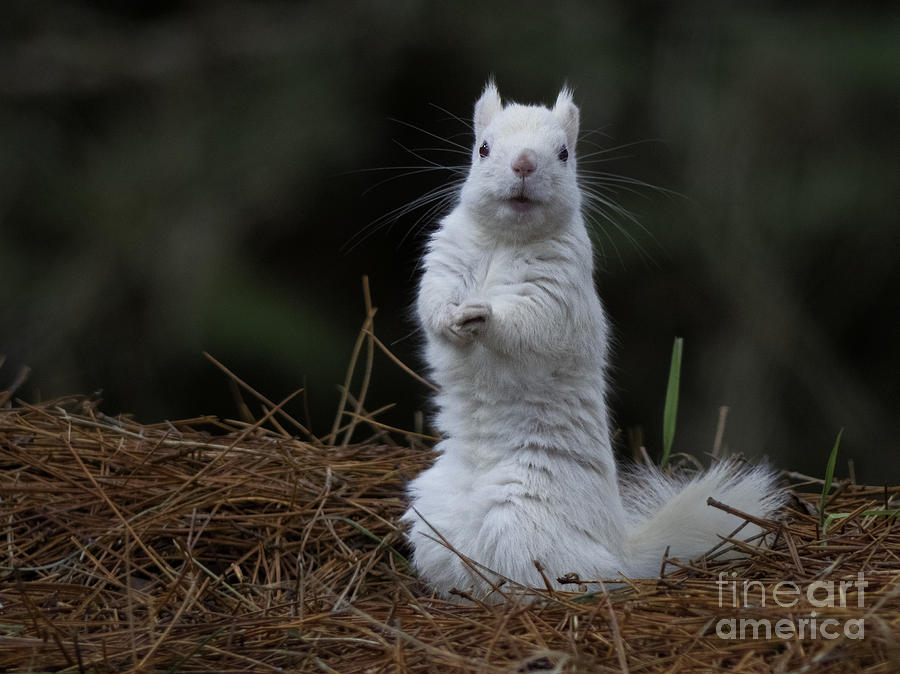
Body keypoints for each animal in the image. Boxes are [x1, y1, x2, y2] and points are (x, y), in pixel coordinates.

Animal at [404, 82, 784, 600]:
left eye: (564, 153)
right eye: (482, 148)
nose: (524, 164)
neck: (506, 239)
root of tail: (621, 554)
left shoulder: (559, 289)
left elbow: (531, 321)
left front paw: (486, 315)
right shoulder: (445, 258)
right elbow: (432, 298)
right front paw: (449, 317)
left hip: (522, 522)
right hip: (433, 520)